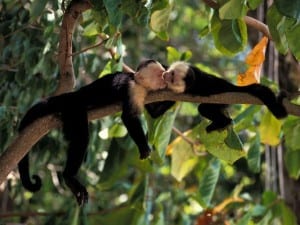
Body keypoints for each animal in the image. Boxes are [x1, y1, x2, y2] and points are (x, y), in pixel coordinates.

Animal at [18, 59, 166, 204]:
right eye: (160, 74)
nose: (165, 79)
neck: (138, 82)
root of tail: (72, 95)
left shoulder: (148, 94)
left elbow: (154, 113)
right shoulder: (133, 89)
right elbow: (129, 117)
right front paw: (143, 147)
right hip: (74, 108)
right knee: (81, 139)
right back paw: (69, 177)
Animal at [146, 61, 288, 132]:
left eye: (173, 78)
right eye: (171, 73)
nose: (166, 75)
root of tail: (232, 87)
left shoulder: (186, 88)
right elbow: (157, 111)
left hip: (223, 98)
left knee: (204, 108)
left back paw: (223, 122)